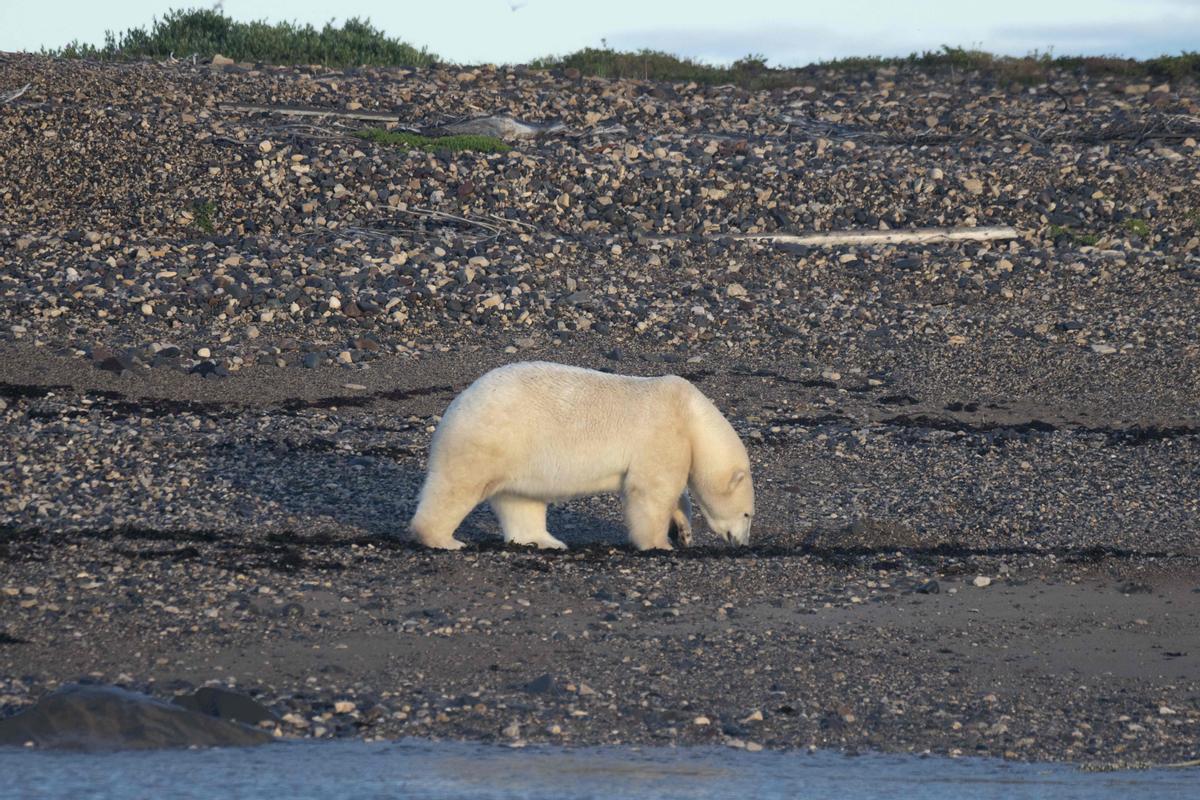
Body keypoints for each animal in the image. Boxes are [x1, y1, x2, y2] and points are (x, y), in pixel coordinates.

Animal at [408, 362, 753, 551]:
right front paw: (659, 543)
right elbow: (651, 491)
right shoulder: (663, 432)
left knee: (520, 500)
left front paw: (683, 531)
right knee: (456, 487)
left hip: (519, 456)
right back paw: (443, 539)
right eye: (748, 514)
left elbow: (673, 492)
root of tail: (455, 407)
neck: (692, 416)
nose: (742, 542)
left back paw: (547, 541)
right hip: (489, 441)